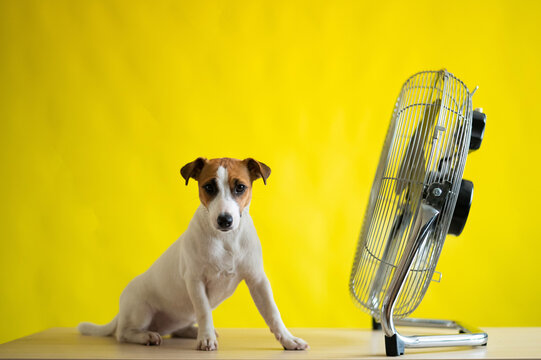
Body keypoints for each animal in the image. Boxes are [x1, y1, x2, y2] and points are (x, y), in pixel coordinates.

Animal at [78, 156, 310, 350]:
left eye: (240, 187)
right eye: (208, 187)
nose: (224, 220)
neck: (226, 240)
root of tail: (120, 314)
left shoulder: (258, 280)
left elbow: (272, 312)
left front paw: (288, 340)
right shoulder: (196, 280)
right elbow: (204, 311)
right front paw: (206, 339)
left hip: (179, 316)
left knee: (176, 329)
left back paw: (190, 331)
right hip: (140, 310)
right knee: (123, 333)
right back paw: (147, 336)